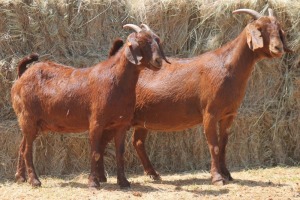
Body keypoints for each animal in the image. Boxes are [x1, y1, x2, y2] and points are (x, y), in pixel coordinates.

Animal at [11, 24, 169, 188]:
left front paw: (123, 182)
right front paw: (93, 181)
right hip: (28, 117)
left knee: (22, 146)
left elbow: (120, 153)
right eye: (142, 42)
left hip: (33, 123)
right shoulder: (96, 122)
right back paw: (34, 180)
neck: (116, 81)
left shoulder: (121, 124)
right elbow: (95, 152)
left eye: (157, 40)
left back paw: (20, 177)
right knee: (27, 150)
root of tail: (22, 75)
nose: (158, 61)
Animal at [99, 8, 292, 185]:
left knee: (137, 142)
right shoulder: (210, 113)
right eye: (260, 28)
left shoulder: (229, 115)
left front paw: (227, 174)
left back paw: (153, 174)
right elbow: (214, 146)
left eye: (278, 28)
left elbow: (223, 145)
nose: (278, 48)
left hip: (142, 119)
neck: (227, 66)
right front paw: (217, 178)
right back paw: (103, 177)